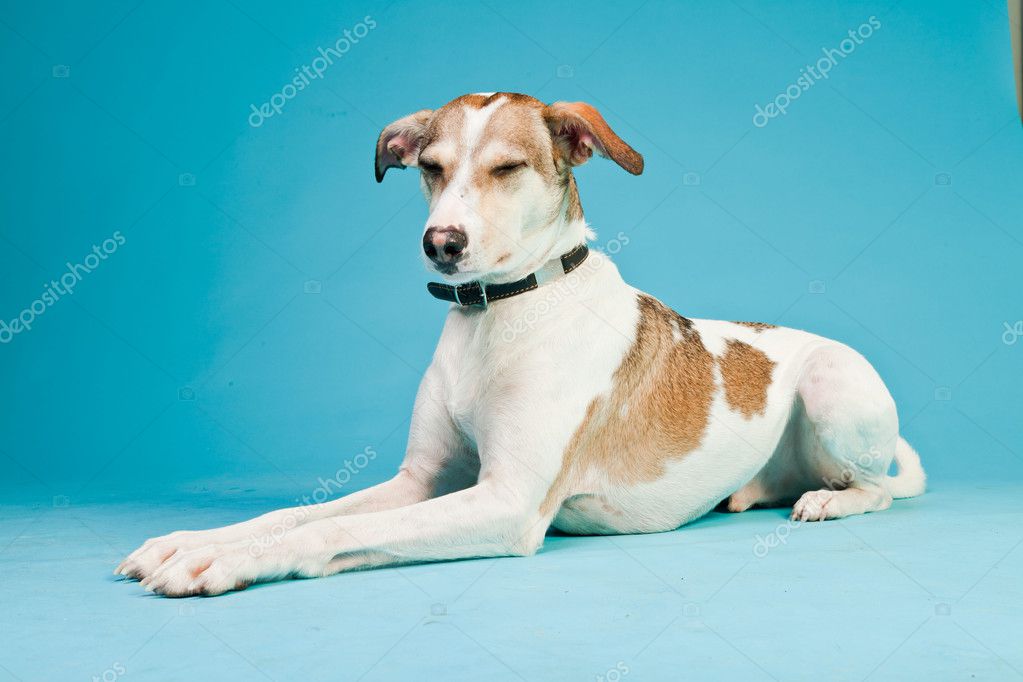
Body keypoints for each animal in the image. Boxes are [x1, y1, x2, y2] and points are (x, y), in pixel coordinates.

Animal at [117, 92, 928, 597]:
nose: (440, 243)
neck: (498, 314)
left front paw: (219, 560)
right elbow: (298, 514)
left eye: (507, 168)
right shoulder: (420, 480)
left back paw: (829, 502)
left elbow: (340, 529)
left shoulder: (505, 502)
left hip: (833, 390)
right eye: (429, 167)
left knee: (880, 489)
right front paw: (191, 539)